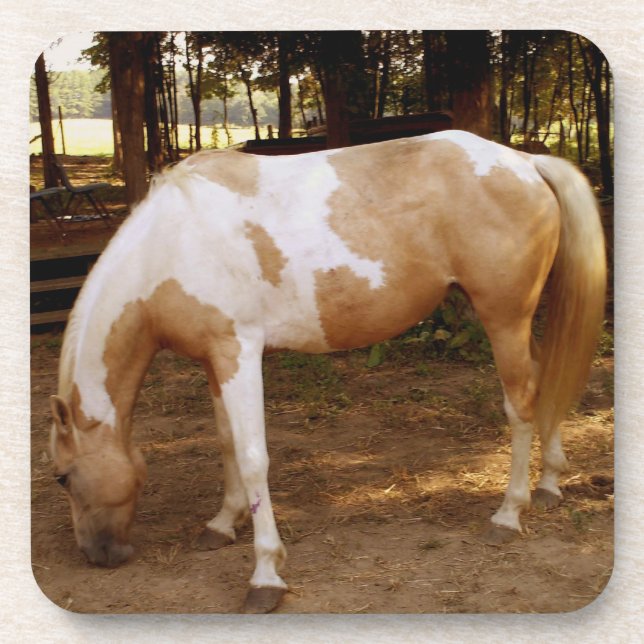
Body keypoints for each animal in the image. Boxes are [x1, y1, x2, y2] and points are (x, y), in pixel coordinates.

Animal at [48, 130, 606, 613]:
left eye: (61, 477)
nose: (98, 555)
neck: (169, 245)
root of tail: (525, 162)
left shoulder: (239, 353)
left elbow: (253, 459)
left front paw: (265, 575)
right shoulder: (215, 360)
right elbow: (227, 444)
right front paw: (223, 523)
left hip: (504, 318)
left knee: (521, 403)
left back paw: (509, 513)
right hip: (513, 322)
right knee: (544, 383)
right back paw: (550, 485)